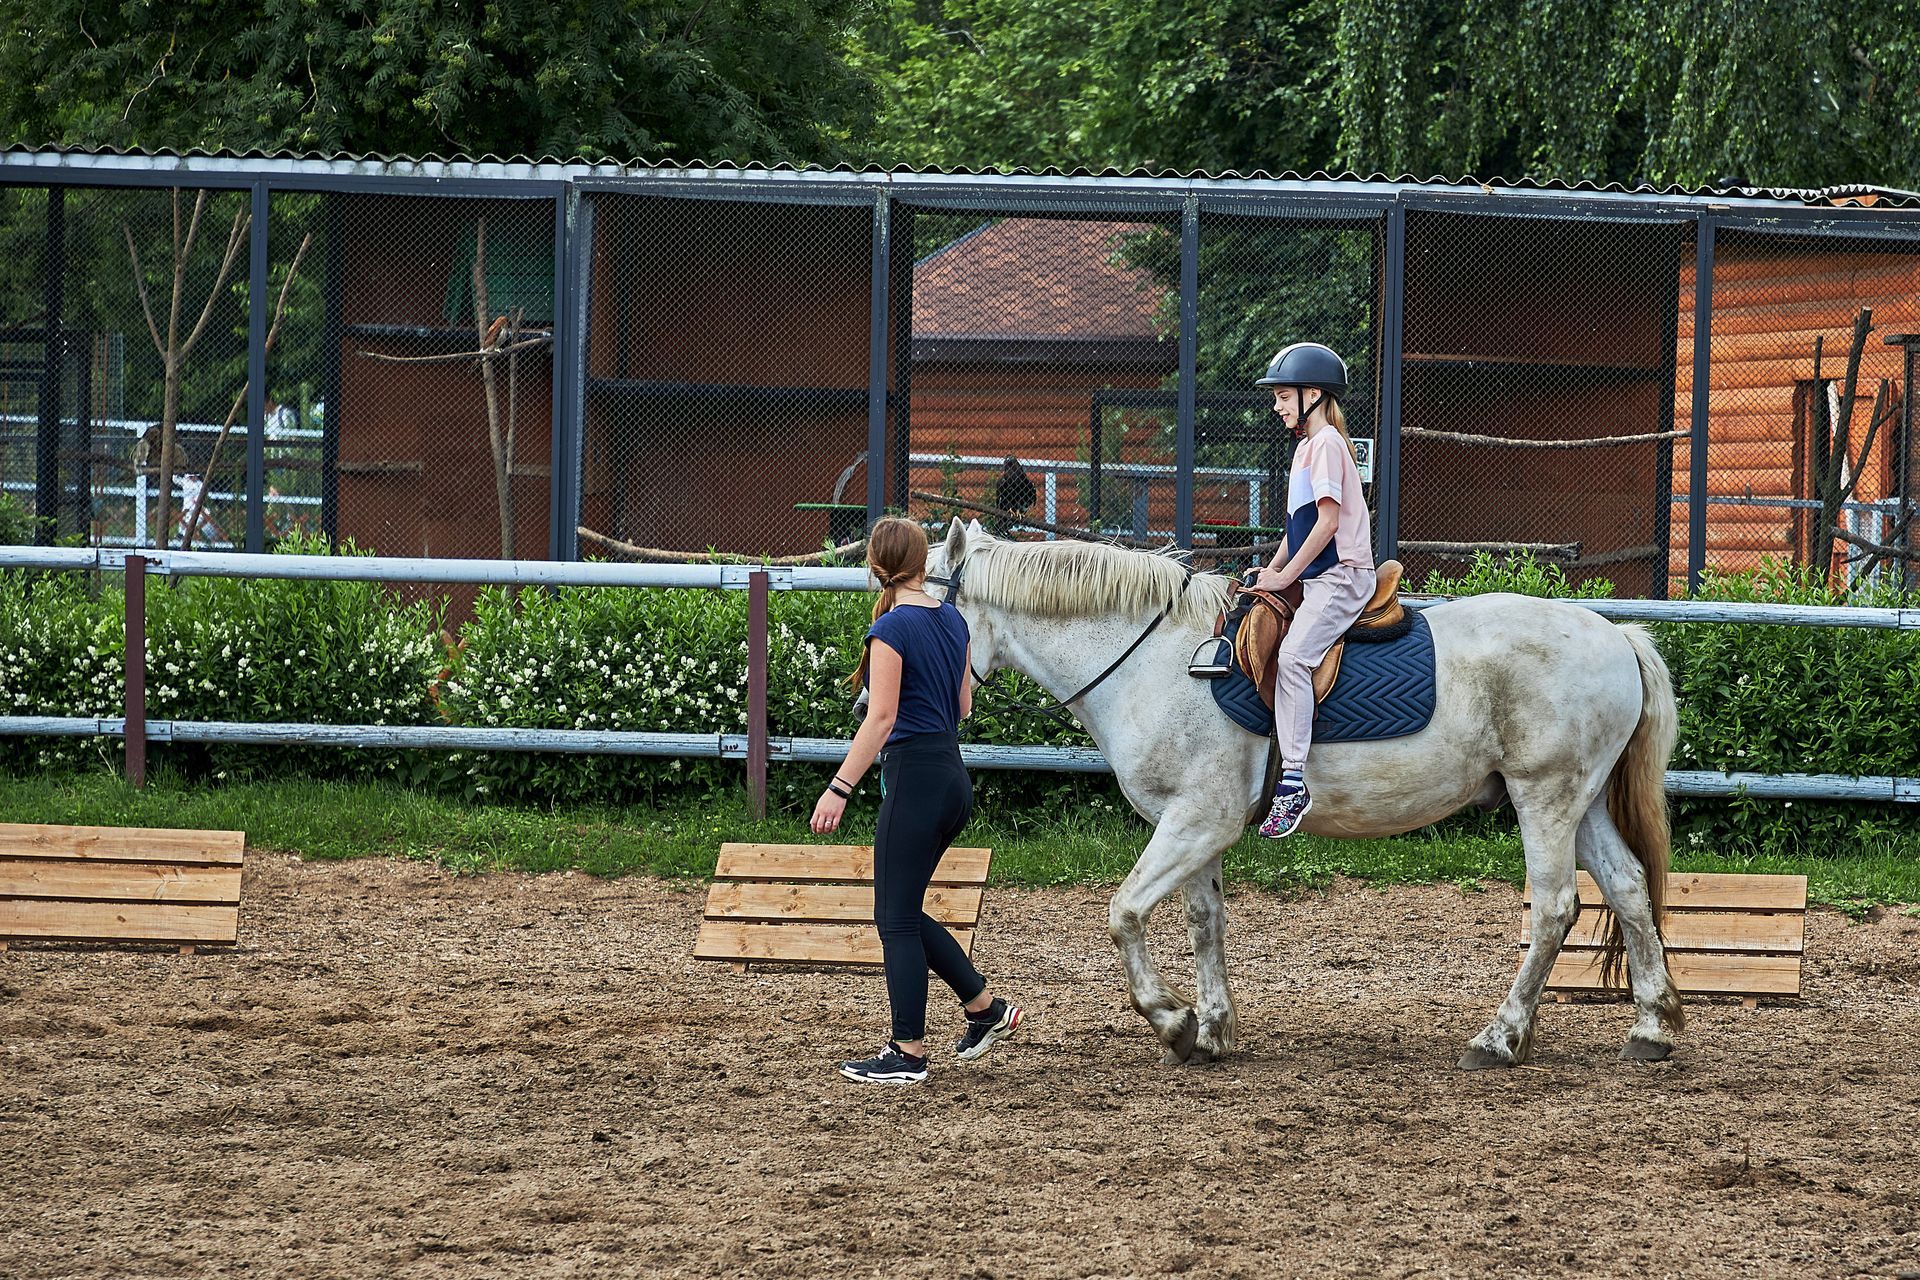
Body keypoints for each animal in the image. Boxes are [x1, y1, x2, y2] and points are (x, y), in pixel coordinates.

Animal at [929, 521, 1681, 1074]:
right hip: (1582, 803)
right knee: (1628, 888)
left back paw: (1499, 1039)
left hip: (1544, 798)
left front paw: (1173, 1022)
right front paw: (1213, 1030)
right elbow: (1204, 921)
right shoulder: (1194, 825)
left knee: (1555, 907)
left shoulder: (1198, 820)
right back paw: (1652, 1028)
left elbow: (1125, 912)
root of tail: (1616, 634)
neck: (1155, 660)